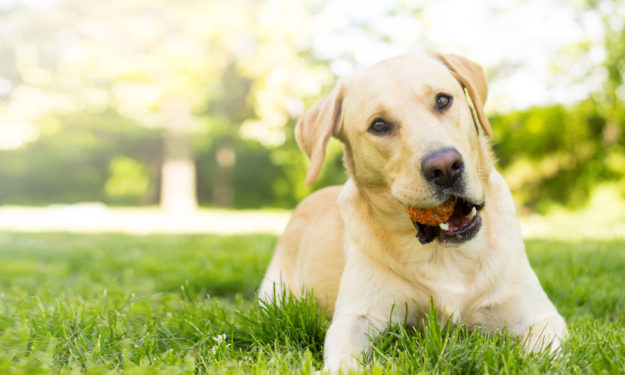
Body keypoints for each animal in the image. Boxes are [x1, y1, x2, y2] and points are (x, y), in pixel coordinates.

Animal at [258, 49, 564, 374]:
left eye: (442, 100)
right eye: (379, 125)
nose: (445, 167)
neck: (444, 253)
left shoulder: (542, 316)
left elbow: (538, 357)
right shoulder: (356, 317)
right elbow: (344, 357)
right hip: (274, 295)